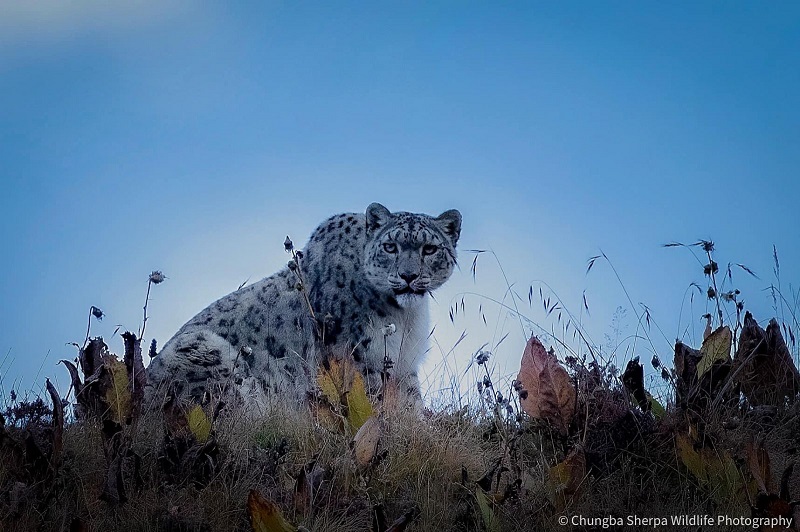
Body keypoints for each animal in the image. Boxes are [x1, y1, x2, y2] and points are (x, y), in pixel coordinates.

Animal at [145, 203, 462, 404]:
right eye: (390, 246)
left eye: (430, 248)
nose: (409, 276)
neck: (406, 318)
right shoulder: (360, 357)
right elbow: (373, 404)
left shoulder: (403, 362)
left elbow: (412, 404)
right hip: (204, 352)